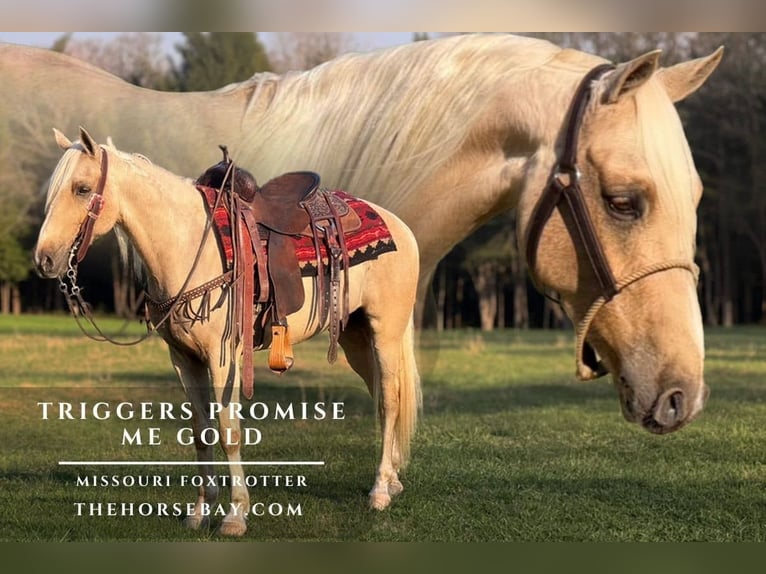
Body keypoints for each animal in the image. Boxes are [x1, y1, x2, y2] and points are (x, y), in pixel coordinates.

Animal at [33, 127, 422, 537]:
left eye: (81, 188)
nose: (44, 259)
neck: (187, 242)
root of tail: (399, 226)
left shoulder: (223, 359)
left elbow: (228, 430)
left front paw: (236, 514)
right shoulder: (183, 359)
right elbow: (201, 429)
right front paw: (200, 510)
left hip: (386, 332)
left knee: (390, 400)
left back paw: (380, 491)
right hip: (356, 338)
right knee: (381, 394)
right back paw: (392, 480)